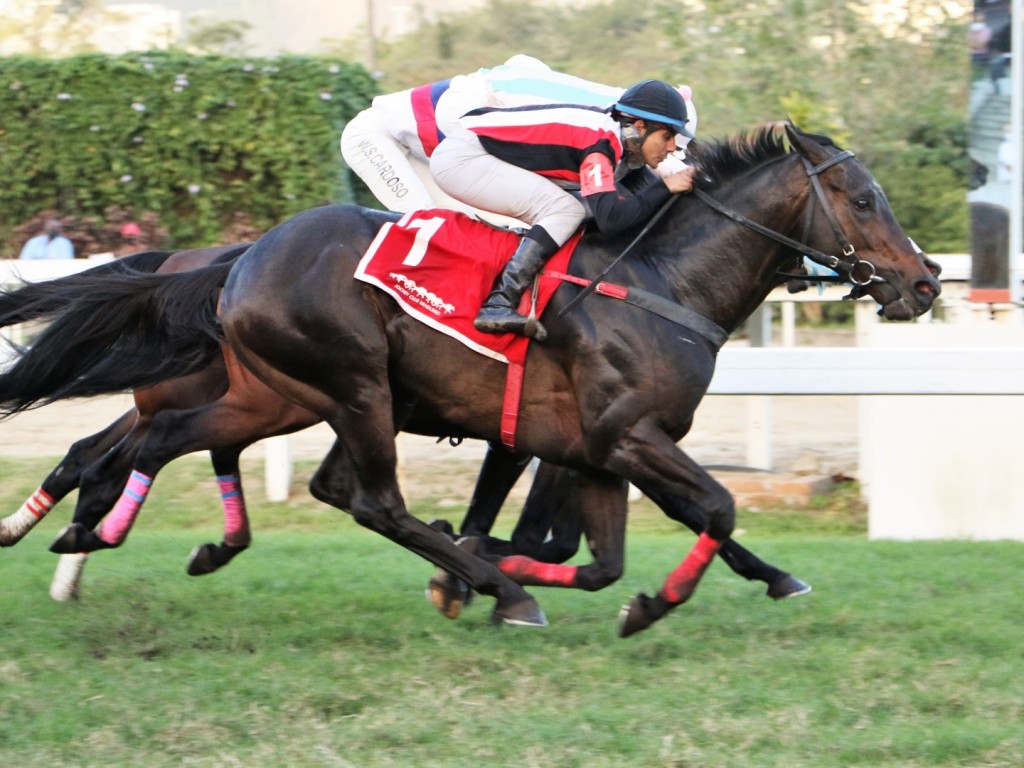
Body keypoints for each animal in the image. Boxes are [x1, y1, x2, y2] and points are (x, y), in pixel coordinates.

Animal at [0, 123, 937, 634]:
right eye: (861, 199)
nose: (924, 281)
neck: (662, 282)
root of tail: (243, 258)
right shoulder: (624, 436)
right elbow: (715, 506)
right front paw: (509, 580)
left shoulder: (599, 451)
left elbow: (607, 556)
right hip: (352, 389)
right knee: (369, 500)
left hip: (274, 395)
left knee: (153, 443)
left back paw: (84, 532)